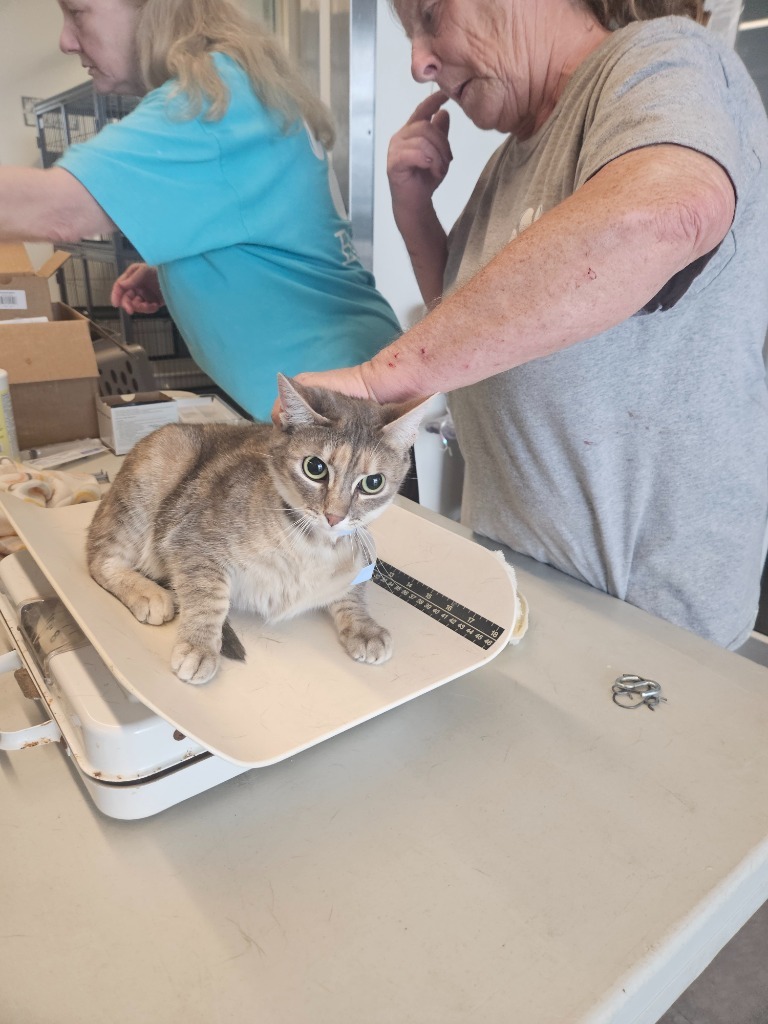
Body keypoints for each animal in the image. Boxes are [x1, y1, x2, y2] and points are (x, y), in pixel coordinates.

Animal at [88, 372, 434, 684]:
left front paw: (364, 627)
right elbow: (209, 597)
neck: (313, 545)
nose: (334, 516)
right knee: (99, 559)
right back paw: (149, 594)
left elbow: (353, 593)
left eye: (373, 483)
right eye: (315, 467)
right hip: (155, 474)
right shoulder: (192, 541)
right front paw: (199, 647)